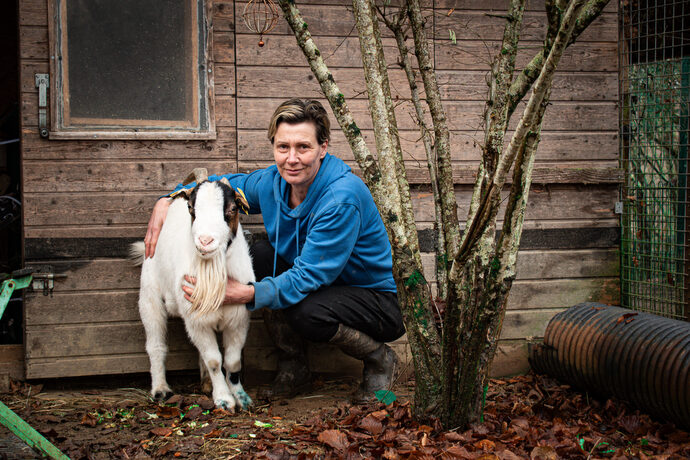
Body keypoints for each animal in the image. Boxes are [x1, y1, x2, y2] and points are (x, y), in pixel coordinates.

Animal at [131, 168, 253, 410]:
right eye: (192, 208)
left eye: (232, 209)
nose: (205, 241)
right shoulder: (197, 320)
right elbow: (215, 360)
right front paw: (224, 399)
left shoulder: (238, 318)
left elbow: (233, 362)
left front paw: (241, 397)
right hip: (149, 295)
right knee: (156, 345)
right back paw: (161, 389)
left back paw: (205, 382)